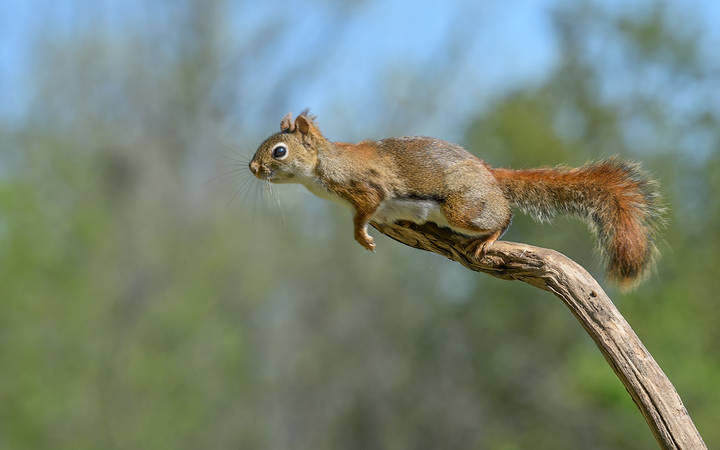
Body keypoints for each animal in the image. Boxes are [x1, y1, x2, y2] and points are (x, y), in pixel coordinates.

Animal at [249, 111, 664, 288]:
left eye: (279, 152)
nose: (252, 167)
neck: (324, 167)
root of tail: (489, 174)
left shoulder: (366, 188)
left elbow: (364, 212)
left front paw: (361, 236)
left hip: (462, 207)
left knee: (503, 216)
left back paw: (489, 238)